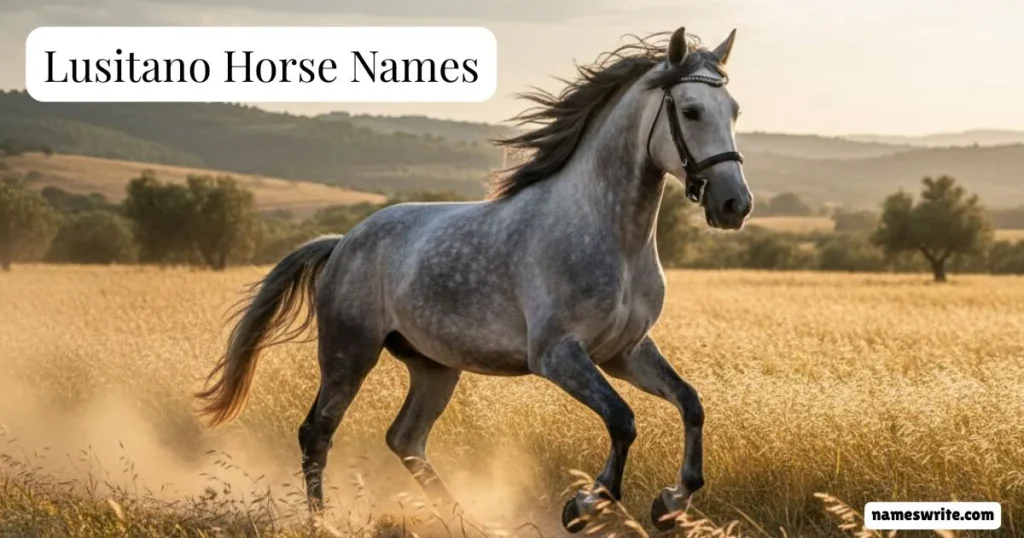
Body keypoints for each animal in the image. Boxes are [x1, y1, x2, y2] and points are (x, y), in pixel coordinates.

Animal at [196, 26, 752, 533]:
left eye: (734, 111)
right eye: (691, 111)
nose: (735, 205)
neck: (610, 234)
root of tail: (344, 241)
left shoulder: (624, 352)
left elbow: (690, 404)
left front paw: (670, 503)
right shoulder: (558, 355)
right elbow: (622, 420)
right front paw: (582, 507)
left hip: (434, 366)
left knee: (405, 438)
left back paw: (466, 519)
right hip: (349, 352)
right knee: (318, 432)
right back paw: (322, 522)